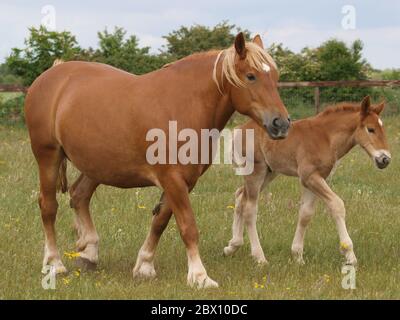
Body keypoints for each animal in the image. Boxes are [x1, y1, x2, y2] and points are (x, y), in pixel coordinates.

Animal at [24, 33, 290, 288]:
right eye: (251, 76)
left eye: (275, 76)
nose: (281, 123)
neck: (183, 105)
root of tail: (52, 75)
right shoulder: (172, 179)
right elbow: (188, 227)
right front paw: (200, 276)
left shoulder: (183, 182)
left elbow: (160, 221)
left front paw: (144, 265)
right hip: (48, 156)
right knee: (48, 206)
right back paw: (54, 263)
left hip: (96, 165)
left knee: (79, 195)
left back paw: (89, 253)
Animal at [225, 96, 390, 266]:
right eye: (370, 129)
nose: (385, 159)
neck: (326, 137)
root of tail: (240, 129)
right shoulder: (309, 176)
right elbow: (337, 205)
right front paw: (349, 255)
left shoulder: (316, 179)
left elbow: (306, 214)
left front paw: (297, 256)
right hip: (256, 172)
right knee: (250, 209)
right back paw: (260, 258)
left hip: (269, 173)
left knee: (240, 195)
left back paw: (232, 245)